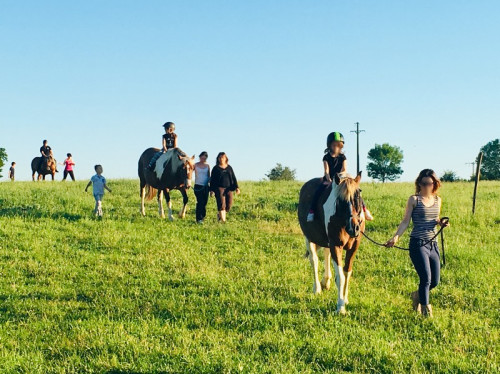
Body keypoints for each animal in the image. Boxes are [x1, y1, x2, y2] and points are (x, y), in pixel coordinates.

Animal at [296, 173, 364, 316]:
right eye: (341, 201)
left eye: (358, 196)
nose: (355, 228)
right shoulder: (336, 245)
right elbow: (340, 277)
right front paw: (340, 307)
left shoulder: (354, 247)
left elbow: (347, 273)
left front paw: (345, 299)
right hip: (309, 238)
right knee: (314, 260)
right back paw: (317, 288)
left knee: (326, 254)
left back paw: (326, 281)